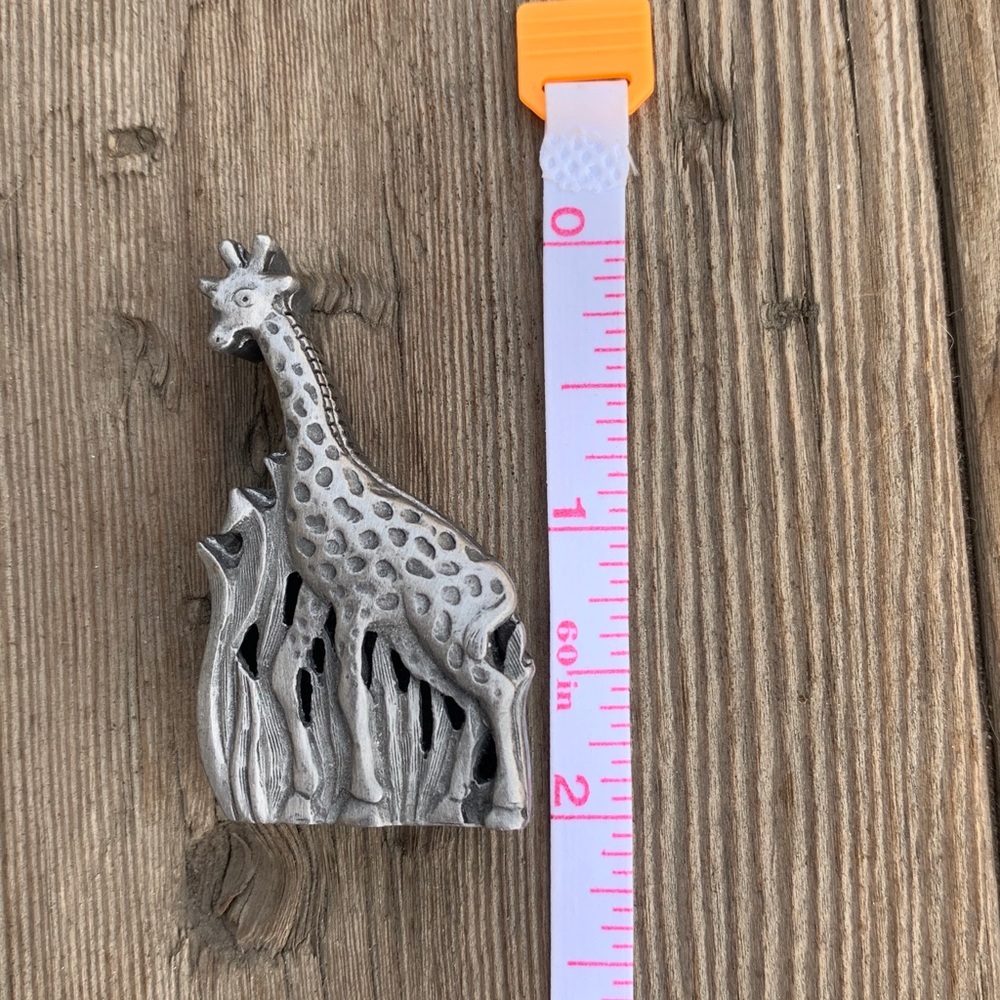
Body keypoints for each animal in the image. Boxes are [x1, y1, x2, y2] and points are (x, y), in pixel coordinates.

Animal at [199, 235, 532, 828]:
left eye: (245, 296)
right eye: (215, 300)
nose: (218, 339)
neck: (322, 464)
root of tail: (505, 594)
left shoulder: (357, 601)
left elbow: (348, 691)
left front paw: (363, 801)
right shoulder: (317, 591)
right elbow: (283, 672)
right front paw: (302, 795)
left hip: (443, 632)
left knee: (500, 689)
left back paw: (505, 810)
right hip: (420, 639)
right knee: (472, 701)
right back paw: (450, 804)